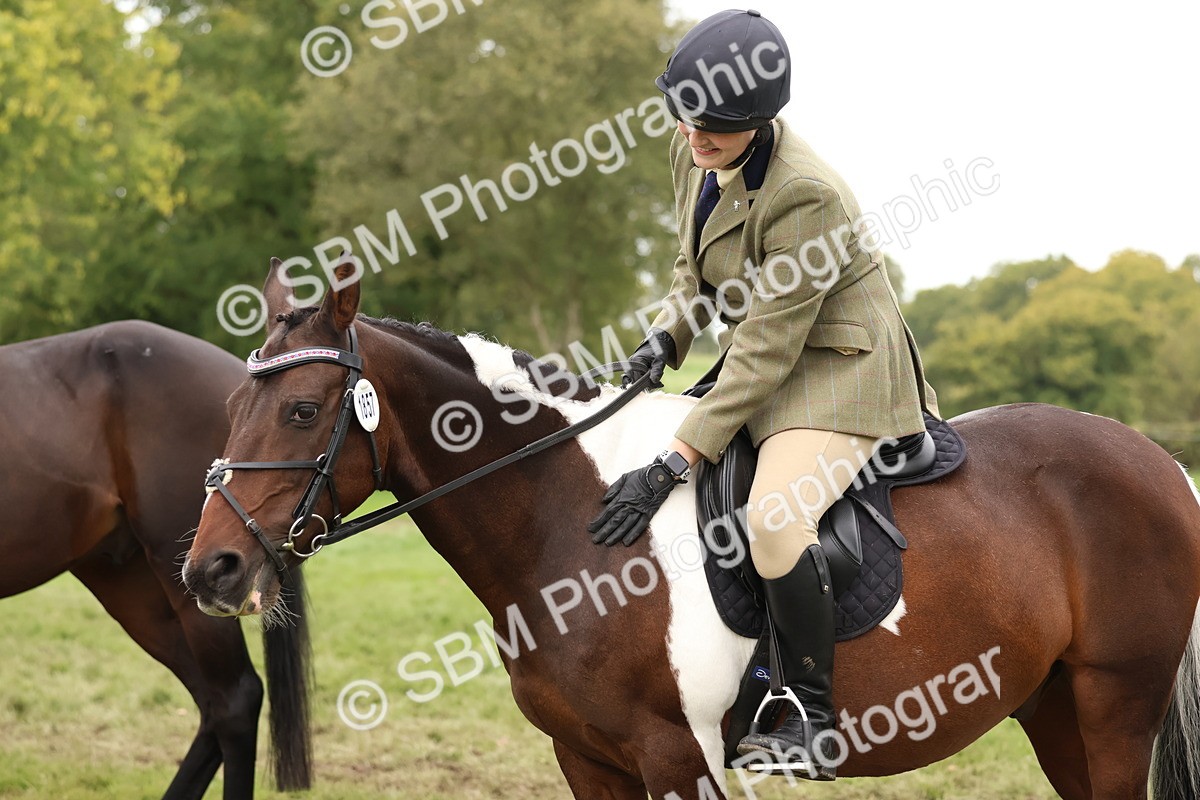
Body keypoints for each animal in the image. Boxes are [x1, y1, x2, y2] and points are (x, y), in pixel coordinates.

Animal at [183, 260, 1200, 800]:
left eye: (305, 411)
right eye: (230, 405)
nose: (210, 571)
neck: (568, 525)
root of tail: (1159, 460)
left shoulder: (678, 758)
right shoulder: (587, 759)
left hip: (1114, 706)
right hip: (1056, 708)